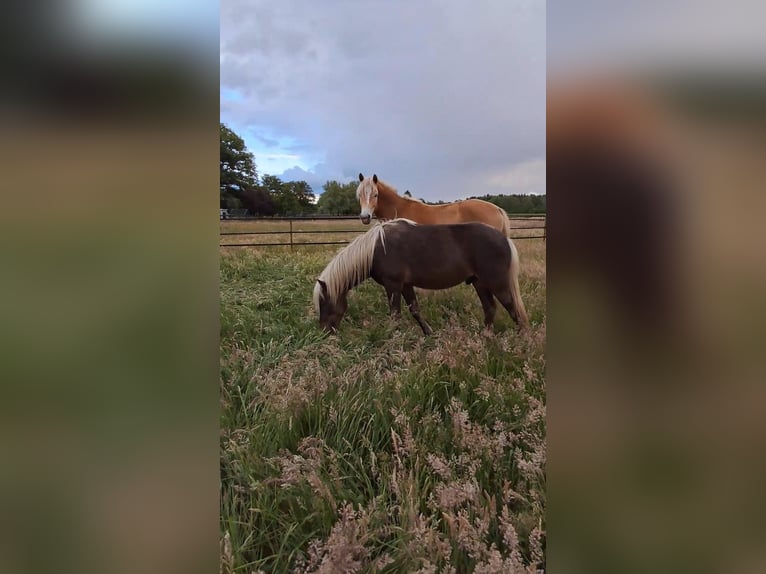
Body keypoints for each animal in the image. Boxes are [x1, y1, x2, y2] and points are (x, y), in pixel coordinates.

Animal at [313, 219, 528, 335]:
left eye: (324, 303)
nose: (324, 333)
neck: (376, 249)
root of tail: (504, 239)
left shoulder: (393, 285)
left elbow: (395, 314)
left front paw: (393, 338)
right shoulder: (406, 285)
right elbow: (415, 310)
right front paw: (428, 333)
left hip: (497, 283)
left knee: (512, 309)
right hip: (479, 283)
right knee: (490, 308)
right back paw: (485, 337)